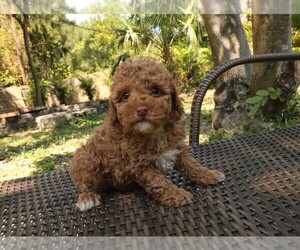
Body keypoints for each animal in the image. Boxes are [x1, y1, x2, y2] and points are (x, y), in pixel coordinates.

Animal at [69, 56, 225, 211]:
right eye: (125, 95)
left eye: (155, 91)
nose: (141, 110)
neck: (154, 132)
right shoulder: (140, 164)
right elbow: (159, 182)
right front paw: (176, 195)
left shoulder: (177, 148)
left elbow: (192, 164)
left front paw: (209, 174)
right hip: (86, 158)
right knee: (84, 183)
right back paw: (87, 198)